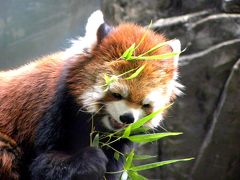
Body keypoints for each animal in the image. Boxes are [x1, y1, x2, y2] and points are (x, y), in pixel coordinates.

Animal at [0, 10, 181, 180]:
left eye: (145, 105)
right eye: (116, 94)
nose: (127, 118)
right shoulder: (53, 111)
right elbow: (43, 164)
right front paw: (90, 160)